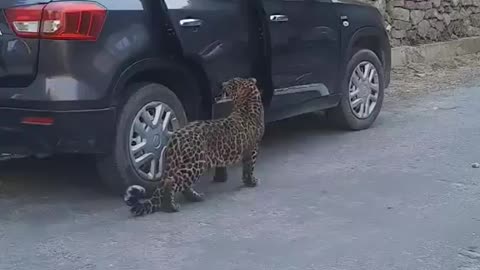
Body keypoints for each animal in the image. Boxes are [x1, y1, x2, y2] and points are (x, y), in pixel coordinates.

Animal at [123, 77, 266, 216]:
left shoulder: (248, 150)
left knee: (178, 183)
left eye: (232, 82)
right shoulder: (253, 149)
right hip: (195, 163)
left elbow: (246, 169)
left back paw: (196, 197)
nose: (221, 84)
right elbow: (250, 168)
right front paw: (252, 182)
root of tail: (176, 137)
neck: (247, 104)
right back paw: (171, 207)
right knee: (171, 182)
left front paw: (248, 181)